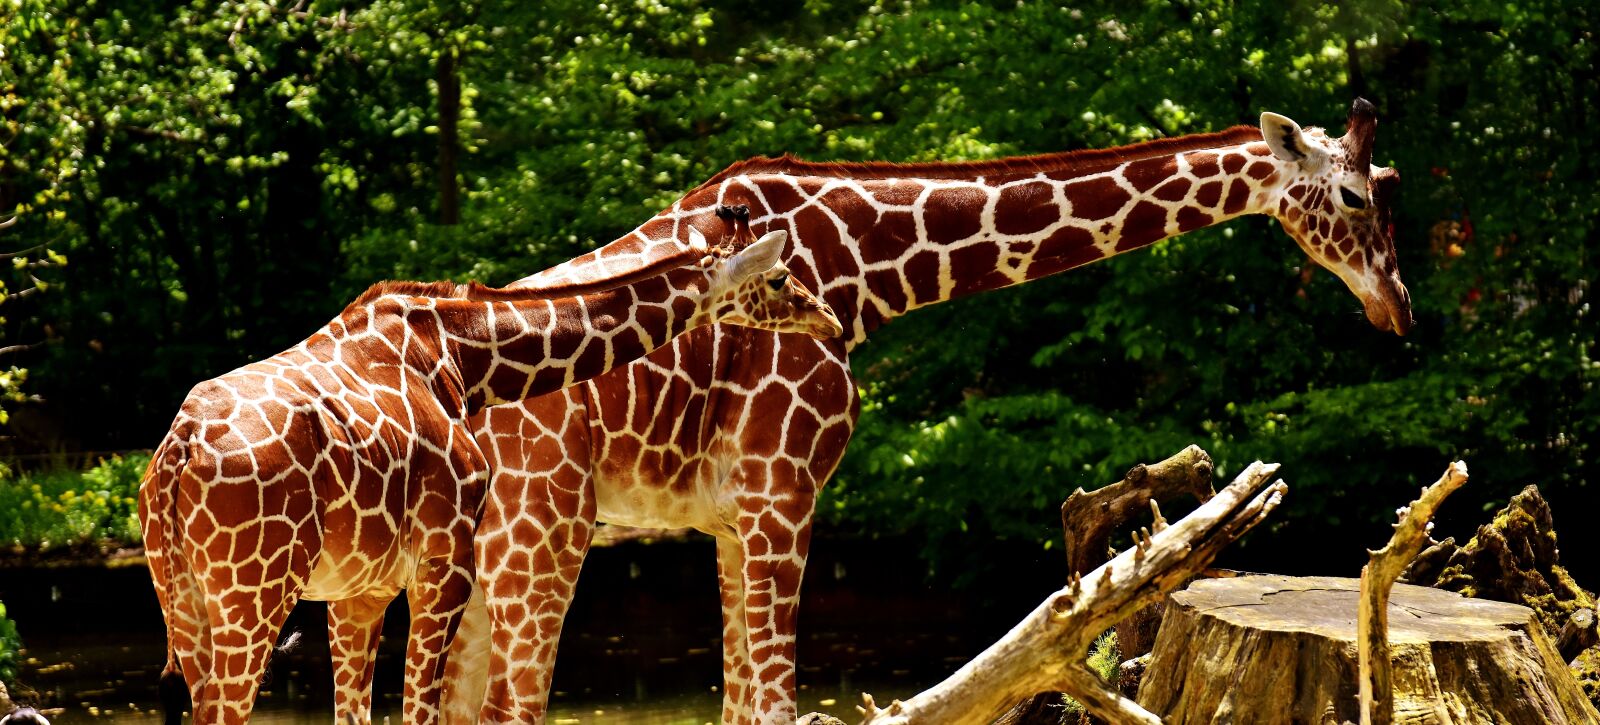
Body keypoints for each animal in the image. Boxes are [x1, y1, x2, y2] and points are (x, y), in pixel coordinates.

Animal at [136, 221, 843, 725]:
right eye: (780, 277)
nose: (828, 318)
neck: (461, 357)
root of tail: (178, 453)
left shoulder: (362, 590)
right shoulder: (444, 561)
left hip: (184, 601)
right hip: (253, 594)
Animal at [441, 99, 1411, 724]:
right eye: (1356, 196)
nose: (1397, 307)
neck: (867, 269)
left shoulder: (729, 516)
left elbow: (742, 702)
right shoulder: (780, 495)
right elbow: (769, 703)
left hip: (477, 558)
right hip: (544, 533)